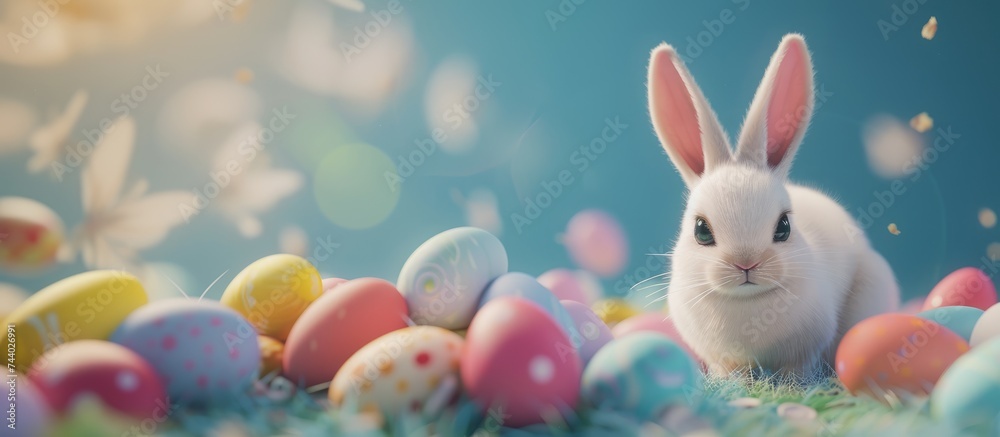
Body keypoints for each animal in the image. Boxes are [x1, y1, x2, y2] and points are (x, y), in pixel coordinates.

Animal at [648, 34, 900, 378]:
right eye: (701, 231)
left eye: (784, 227)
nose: (746, 263)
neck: (748, 303)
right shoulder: (722, 358)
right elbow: (729, 374)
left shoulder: (805, 351)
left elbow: (797, 372)